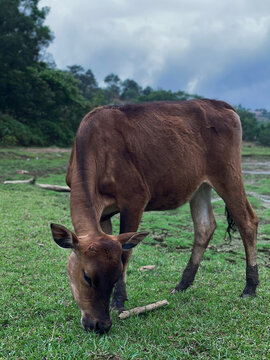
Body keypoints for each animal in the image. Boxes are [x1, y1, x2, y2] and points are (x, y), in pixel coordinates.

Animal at [49, 99, 258, 334]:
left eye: (115, 276)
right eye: (86, 276)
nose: (100, 325)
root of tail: (222, 104)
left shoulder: (135, 199)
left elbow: (125, 254)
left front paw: (119, 301)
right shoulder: (103, 214)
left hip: (228, 174)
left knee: (247, 221)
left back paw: (250, 287)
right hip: (200, 185)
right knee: (205, 226)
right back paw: (182, 284)